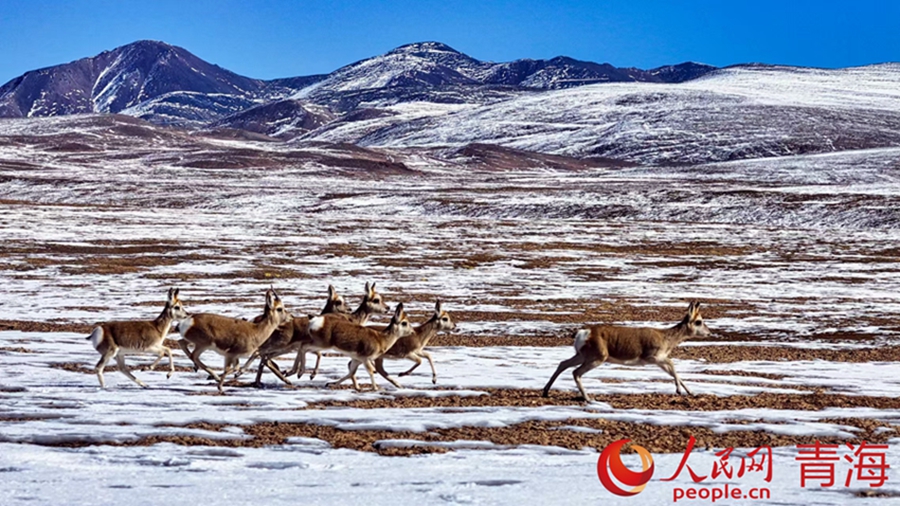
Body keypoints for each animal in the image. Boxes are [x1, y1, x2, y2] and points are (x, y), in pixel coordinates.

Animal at [540, 302, 712, 402]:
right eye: (699, 321)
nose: (709, 332)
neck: (665, 337)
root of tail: (585, 332)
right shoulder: (653, 358)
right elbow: (673, 365)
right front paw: (678, 391)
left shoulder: (660, 362)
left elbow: (673, 372)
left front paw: (691, 392)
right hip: (597, 358)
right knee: (576, 372)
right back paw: (588, 399)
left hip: (582, 356)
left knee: (563, 364)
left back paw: (546, 392)